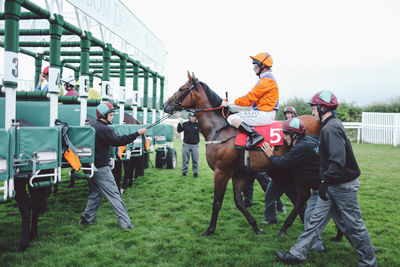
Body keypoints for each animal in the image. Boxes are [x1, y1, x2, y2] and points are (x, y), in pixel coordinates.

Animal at [161, 73, 320, 237]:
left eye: (182, 88)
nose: (165, 105)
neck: (219, 129)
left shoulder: (221, 172)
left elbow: (217, 202)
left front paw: (209, 230)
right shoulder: (239, 172)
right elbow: (239, 201)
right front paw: (256, 227)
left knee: (303, 195)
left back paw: (288, 225)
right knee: (301, 196)